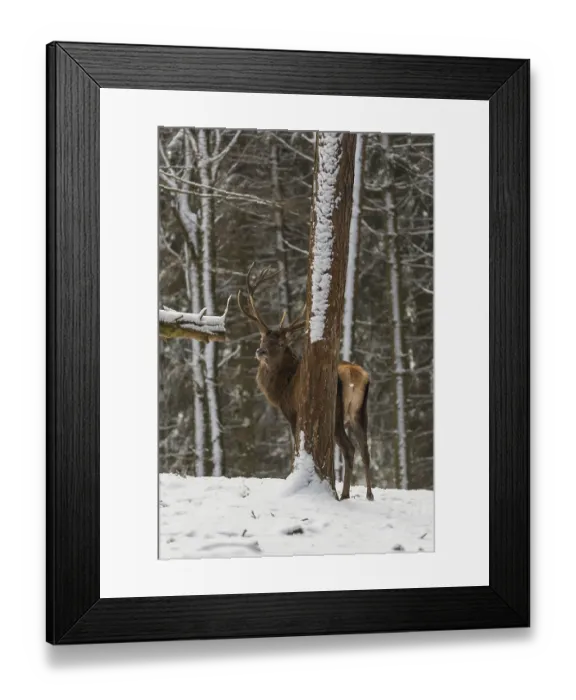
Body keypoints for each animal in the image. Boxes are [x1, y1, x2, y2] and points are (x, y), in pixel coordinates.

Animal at [237, 263, 373, 501]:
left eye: (281, 343)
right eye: (262, 338)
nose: (260, 351)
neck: (281, 389)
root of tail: (354, 375)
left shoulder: (292, 413)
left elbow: (295, 450)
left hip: (335, 413)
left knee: (349, 448)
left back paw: (344, 494)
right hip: (359, 411)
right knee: (365, 449)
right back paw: (368, 494)